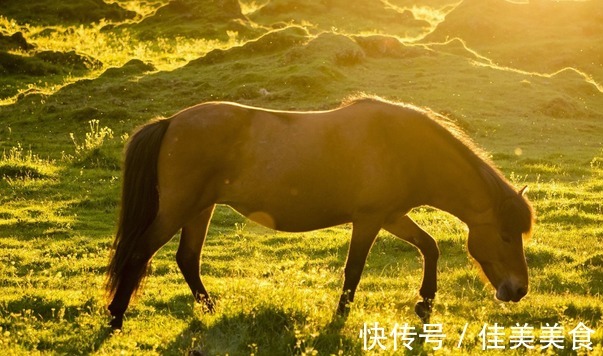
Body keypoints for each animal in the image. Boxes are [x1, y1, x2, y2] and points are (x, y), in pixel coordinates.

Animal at [106, 96, 536, 328]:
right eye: (504, 234)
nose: (518, 290)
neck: (402, 147)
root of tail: (171, 122)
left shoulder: (391, 216)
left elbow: (429, 246)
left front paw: (425, 302)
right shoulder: (369, 220)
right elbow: (354, 270)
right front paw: (340, 317)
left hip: (200, 208)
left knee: (187, 259)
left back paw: (212, 310)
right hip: (178, 209)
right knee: (140, 252)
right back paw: (116, 316)